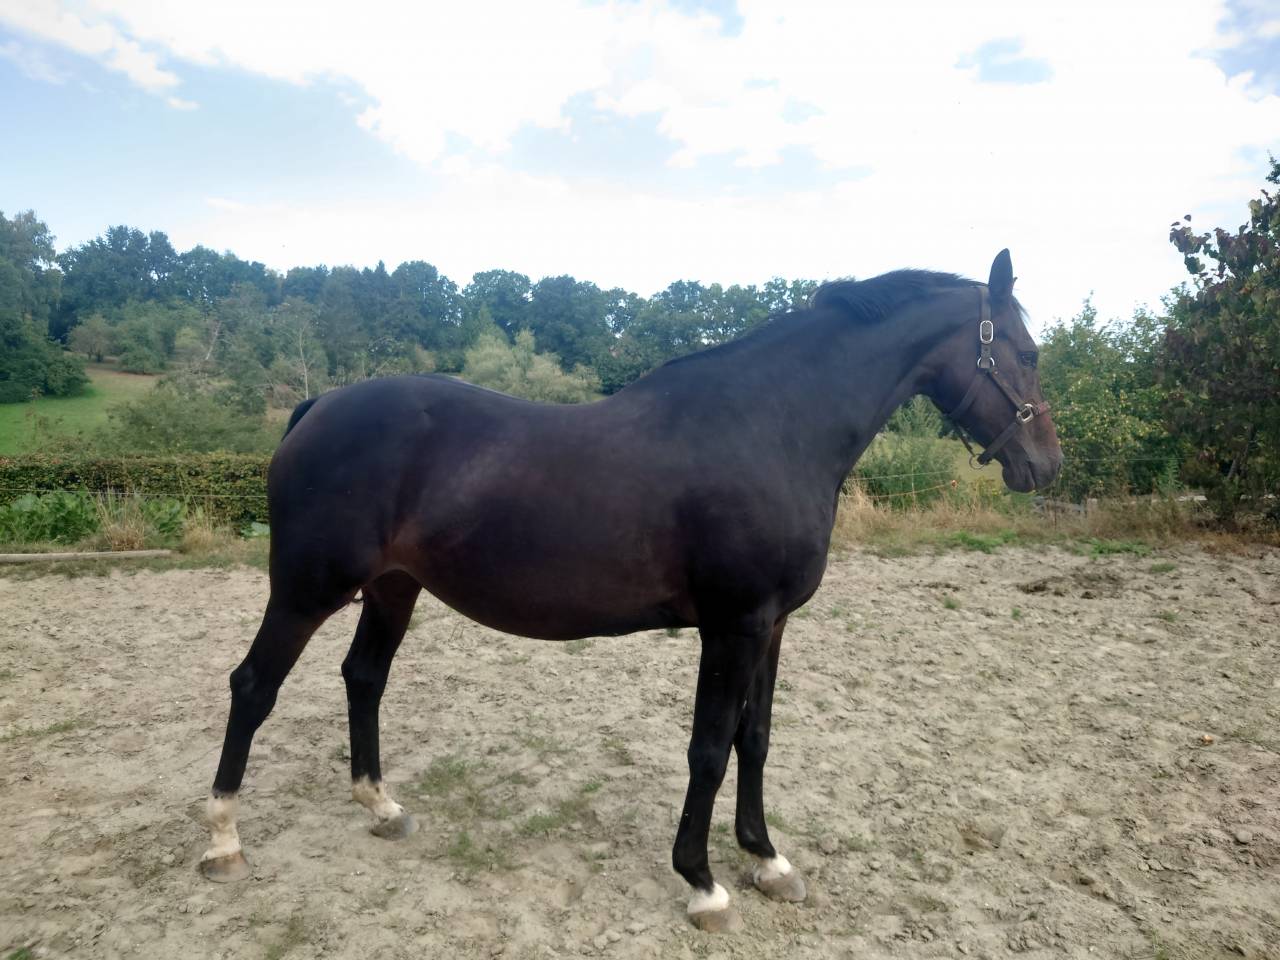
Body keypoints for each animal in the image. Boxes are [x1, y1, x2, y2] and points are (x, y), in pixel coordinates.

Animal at [200, 249, 1061, 933]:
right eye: (1024, 350)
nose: (1046, 465)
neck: (773, 426)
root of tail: (318, 406)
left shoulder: (773, 625)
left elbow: (756, 739)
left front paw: (768, 860)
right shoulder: (733, 625)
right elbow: (709, 748)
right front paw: (704, 883)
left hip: (392, 588)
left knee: (363, 678)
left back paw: (381, 806)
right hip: (308, 589)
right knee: (252, 687)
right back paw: (223, 840)